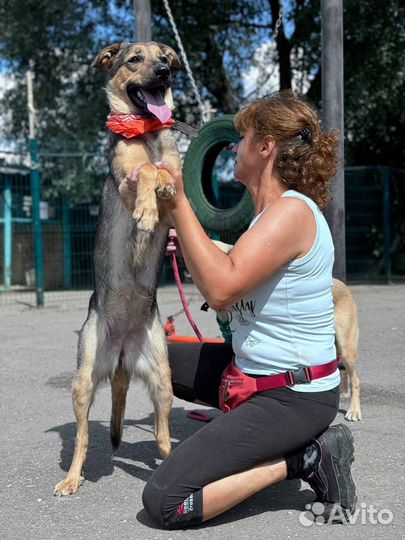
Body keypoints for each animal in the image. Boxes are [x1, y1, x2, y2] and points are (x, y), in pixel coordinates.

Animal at [54, 41, 181, 498]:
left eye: (163, 56)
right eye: (134, 60)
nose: (164, 72)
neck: (144, 130)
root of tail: (124, 350)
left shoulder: (177, 175)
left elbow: (164, 169)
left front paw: (158, 195)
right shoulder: (127, 176)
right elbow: (144, 170)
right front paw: (146, 210)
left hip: (163, 378)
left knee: (162, 434)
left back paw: (169, 459)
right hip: (84, 379)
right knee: (83, 440)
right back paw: (72, 478)